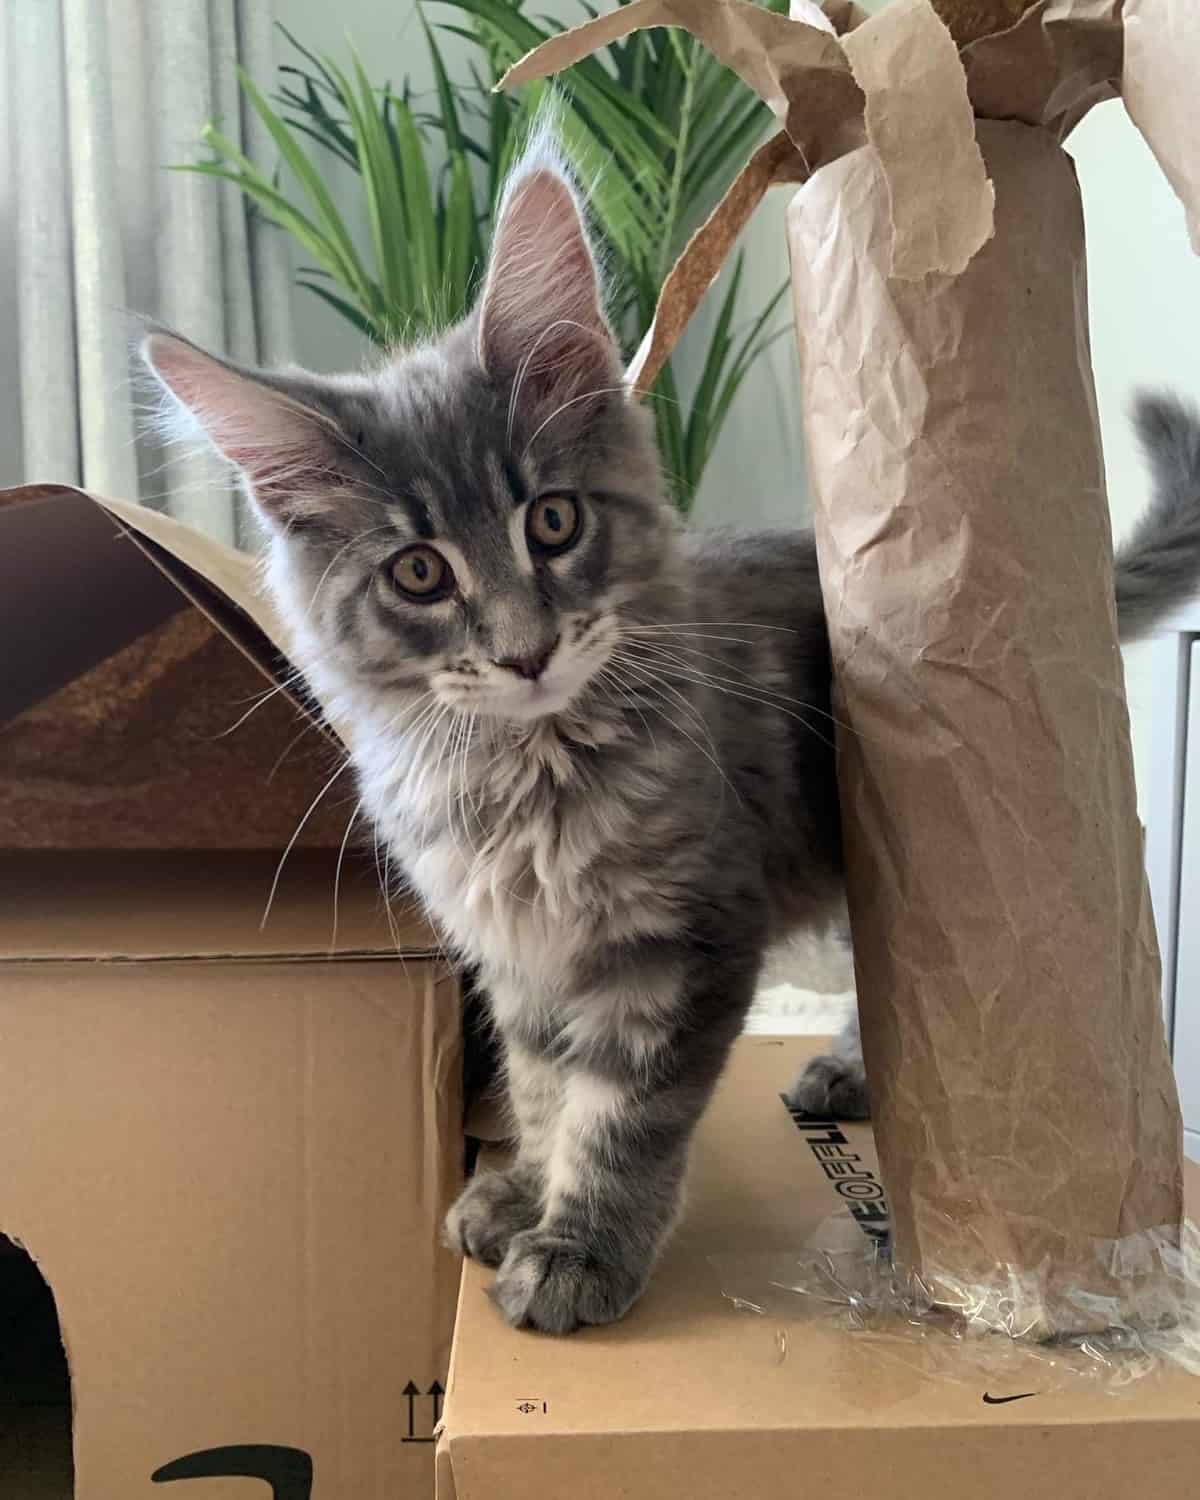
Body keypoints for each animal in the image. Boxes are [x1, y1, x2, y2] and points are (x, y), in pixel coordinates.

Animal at [147, 146, 1200, 1332]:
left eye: (553, 522)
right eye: (418, 574)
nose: (525, 651)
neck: (522, 779)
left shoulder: (678, 939)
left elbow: (618, 1117)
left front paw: (578, 1250)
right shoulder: (519, 958)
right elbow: (543, 1085)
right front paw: (522, 1188)